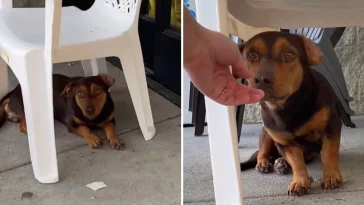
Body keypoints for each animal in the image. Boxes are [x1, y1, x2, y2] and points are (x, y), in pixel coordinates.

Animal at [239, 31, 344, 195]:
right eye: (251, 55)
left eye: (289, 55)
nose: (262, 79)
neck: (287, 107)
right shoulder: (285, 143)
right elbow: (296, 162)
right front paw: (300, 181)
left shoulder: (331, 126)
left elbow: (328, 153)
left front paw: (331, 176)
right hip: (267, 132)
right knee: (262, 152)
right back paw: (265, 163)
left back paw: (280, 163)